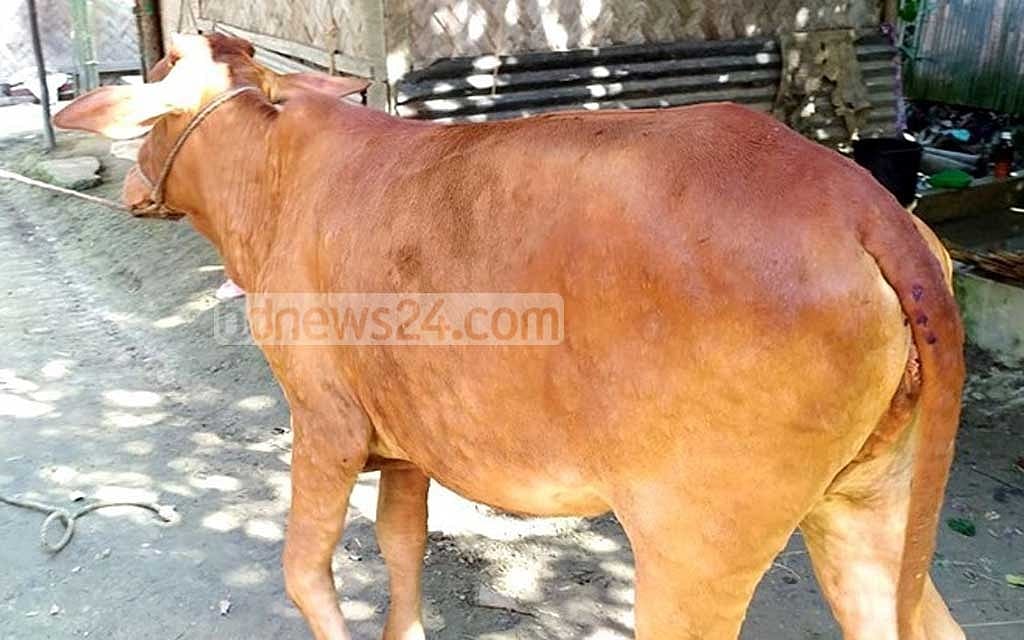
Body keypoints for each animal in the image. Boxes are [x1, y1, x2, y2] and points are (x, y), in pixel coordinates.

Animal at [54, 33, 965, 640]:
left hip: (697, 544)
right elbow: (402, 550)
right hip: (867, 505)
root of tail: (866, 206)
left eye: (155, 87)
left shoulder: (325, 422)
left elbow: (305, 571)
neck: (273, 178)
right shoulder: (406, 439)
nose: (131, 183)